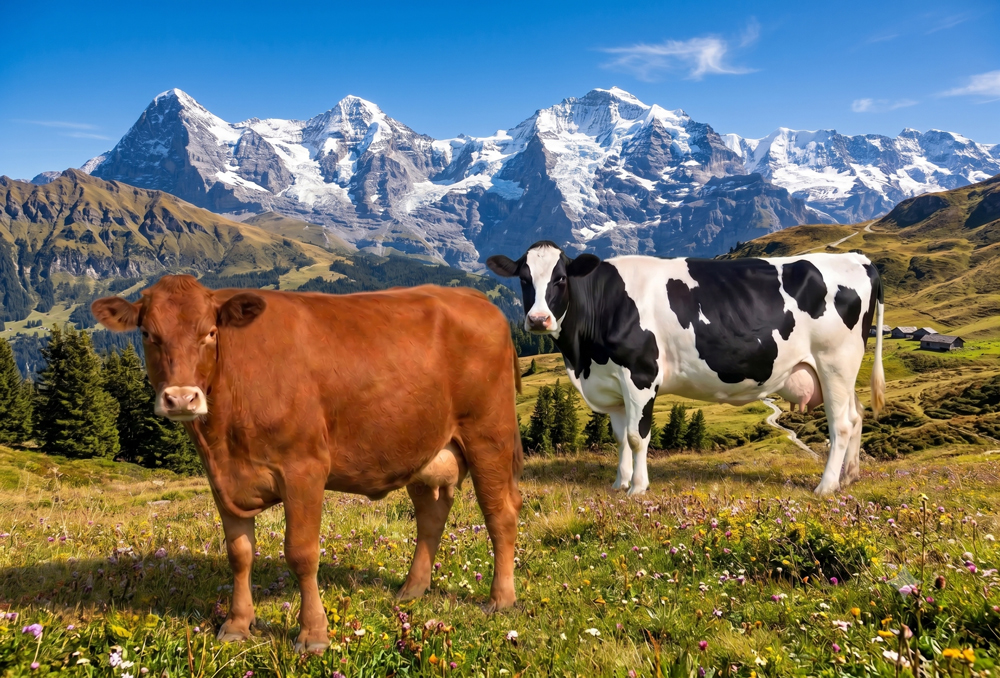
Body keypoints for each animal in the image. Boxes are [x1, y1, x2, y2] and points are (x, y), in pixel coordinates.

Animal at [91, 276, 524, 653]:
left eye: (210, 333)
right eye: (148, 334)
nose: (181, 398)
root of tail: (474, 297)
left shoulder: (304, 468)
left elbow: (301, 553)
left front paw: (313, 634)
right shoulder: (222, 479)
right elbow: (239, 552)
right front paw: (236, 625)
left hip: (489, 435)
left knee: (500, 513)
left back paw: (500, 598)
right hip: (425, 445)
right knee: (431, 516)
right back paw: (412, 590)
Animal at [487, 242, 885, 497]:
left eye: (560, 279)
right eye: (524, 278)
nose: (538, 319)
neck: (582, 358)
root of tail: (859, 260)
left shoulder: (641, 375)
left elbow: (637, 436)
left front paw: (638, 488)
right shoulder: (613, 384)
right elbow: (620, 438)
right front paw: (619, 483)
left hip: (834, 362)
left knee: (841, 423)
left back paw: (826, 486)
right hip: (842, 370)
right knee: (857, 413)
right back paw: (850, 477)